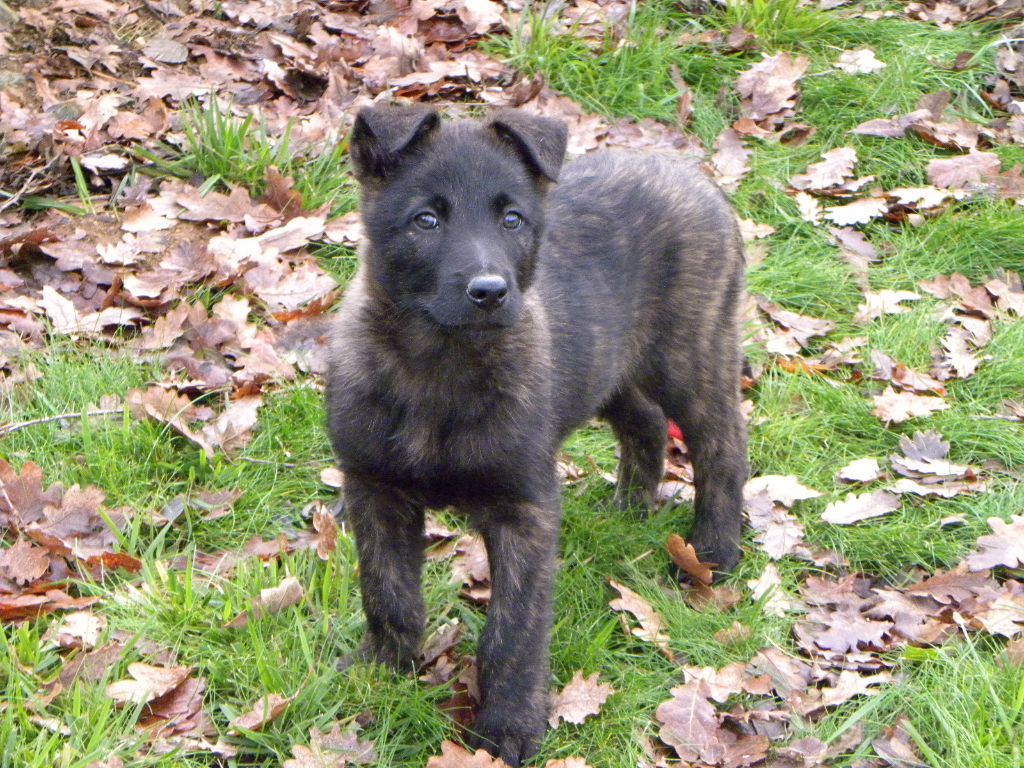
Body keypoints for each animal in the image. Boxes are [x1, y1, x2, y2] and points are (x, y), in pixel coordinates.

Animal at [325, 105, 748, 765]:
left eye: (512, 219)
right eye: (425, 220)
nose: (490, 292)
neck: (441, 367)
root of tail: (690, 172)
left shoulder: (523, 509)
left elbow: (512, 632)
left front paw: (509, 728)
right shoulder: (374, 489)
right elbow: (388, 595)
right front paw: (384, 670)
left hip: (690, 353)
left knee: (722, 442)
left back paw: (713, 553)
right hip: (610, 364)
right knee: (647, 423)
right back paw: (630, 506)